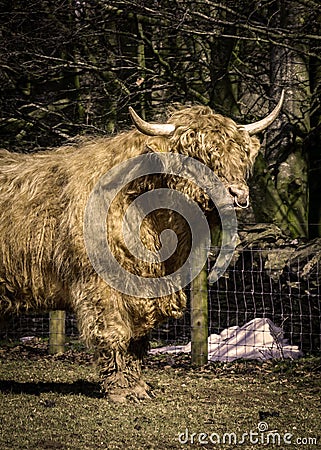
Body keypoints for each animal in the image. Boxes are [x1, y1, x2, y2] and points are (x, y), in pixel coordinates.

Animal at [0, 93, 282, 402]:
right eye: (195, 154)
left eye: (241, 155)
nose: (238, 194)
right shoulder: (102, 285)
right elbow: (114, 333)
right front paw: (121, 390)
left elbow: (137, 338)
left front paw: (137, 386)